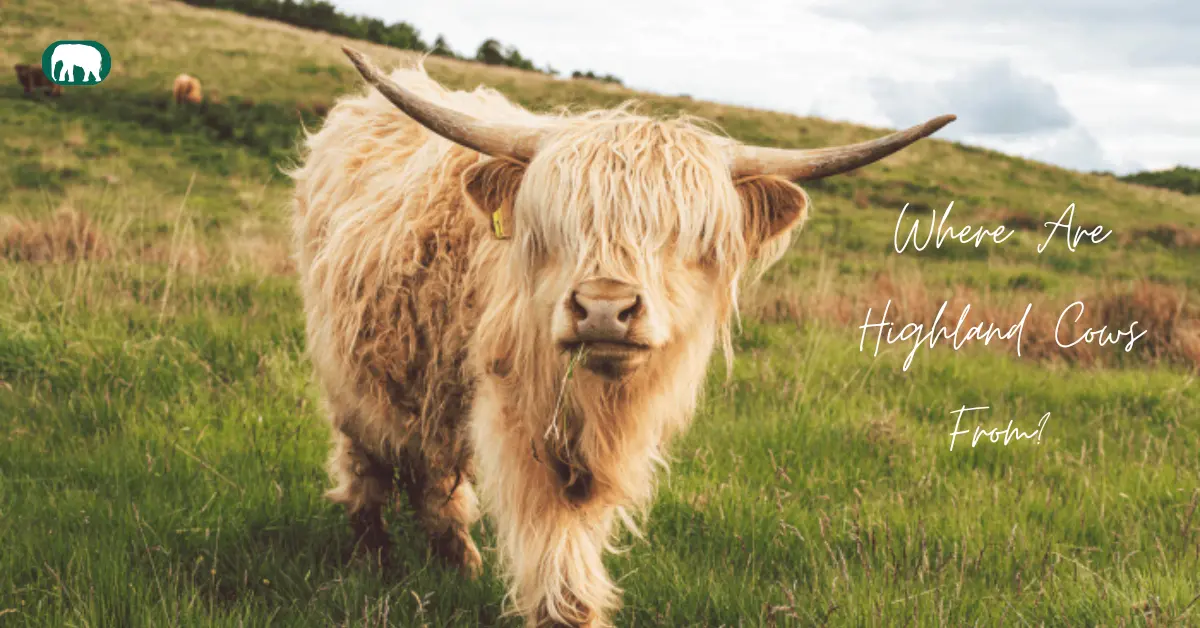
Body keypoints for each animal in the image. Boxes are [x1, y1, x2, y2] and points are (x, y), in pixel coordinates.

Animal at [290, 46, 953, 627]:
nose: (604, 309)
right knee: (371, 457)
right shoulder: (522, 424)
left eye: (689, 235)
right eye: (555, 227)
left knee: (431, 470)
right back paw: (376, 552)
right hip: (353, 366)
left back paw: (457, 563)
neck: (597, 403)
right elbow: (556, 557)